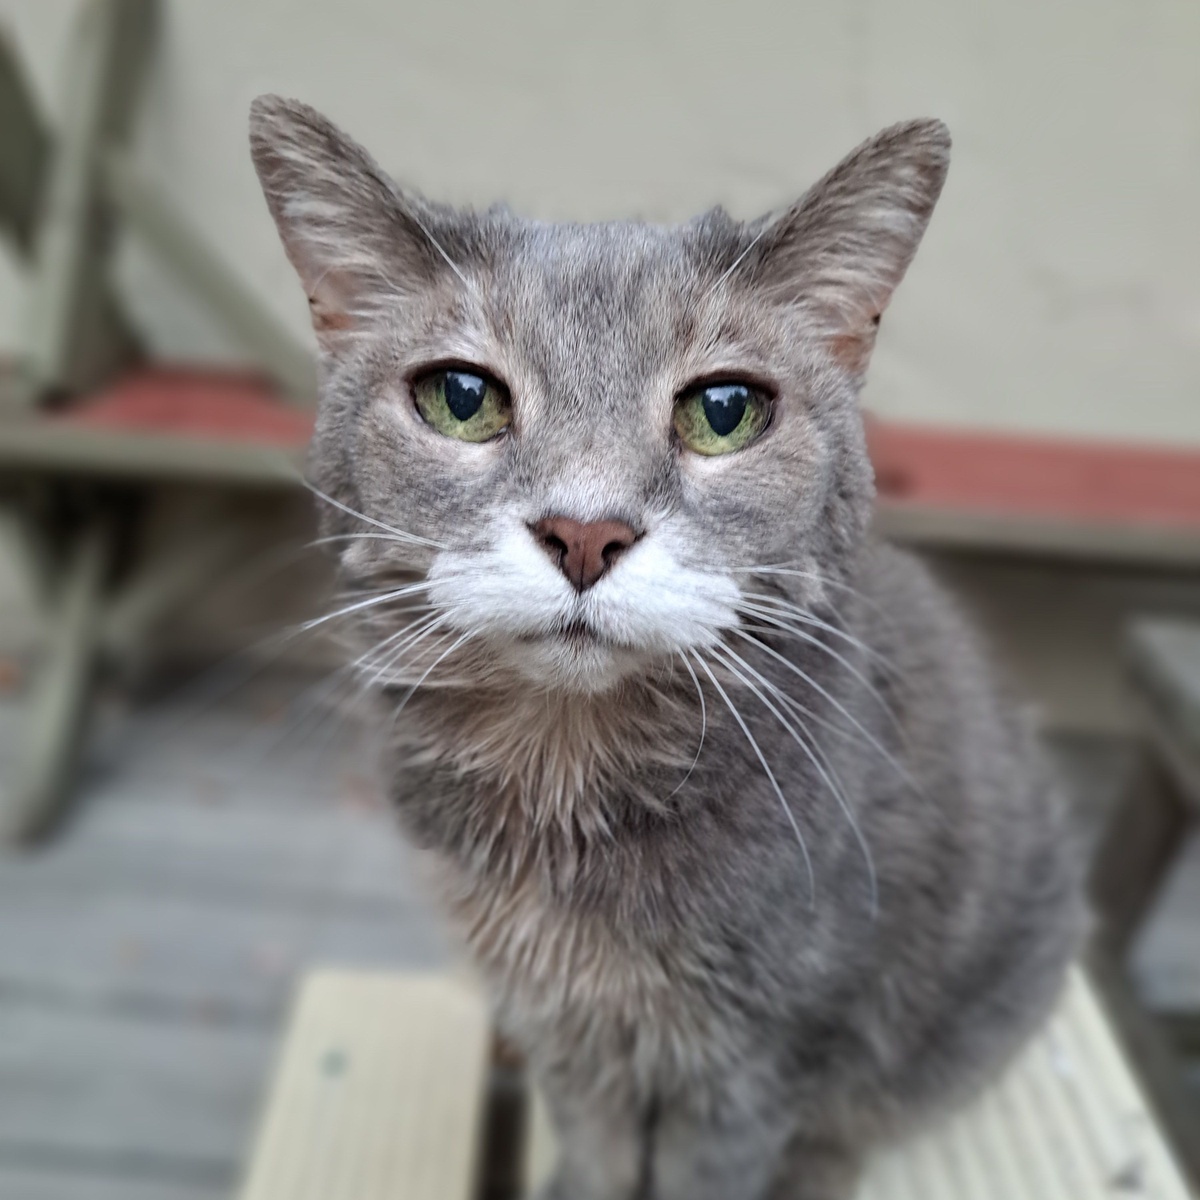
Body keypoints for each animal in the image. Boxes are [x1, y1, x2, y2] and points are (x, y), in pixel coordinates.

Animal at [250, 100, 1080, 1200]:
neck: (563, 788)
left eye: (723, 411)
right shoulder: (566, 1037)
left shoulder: (753, 1071)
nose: (584, 532)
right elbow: (596, 1152)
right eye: (462, 398)